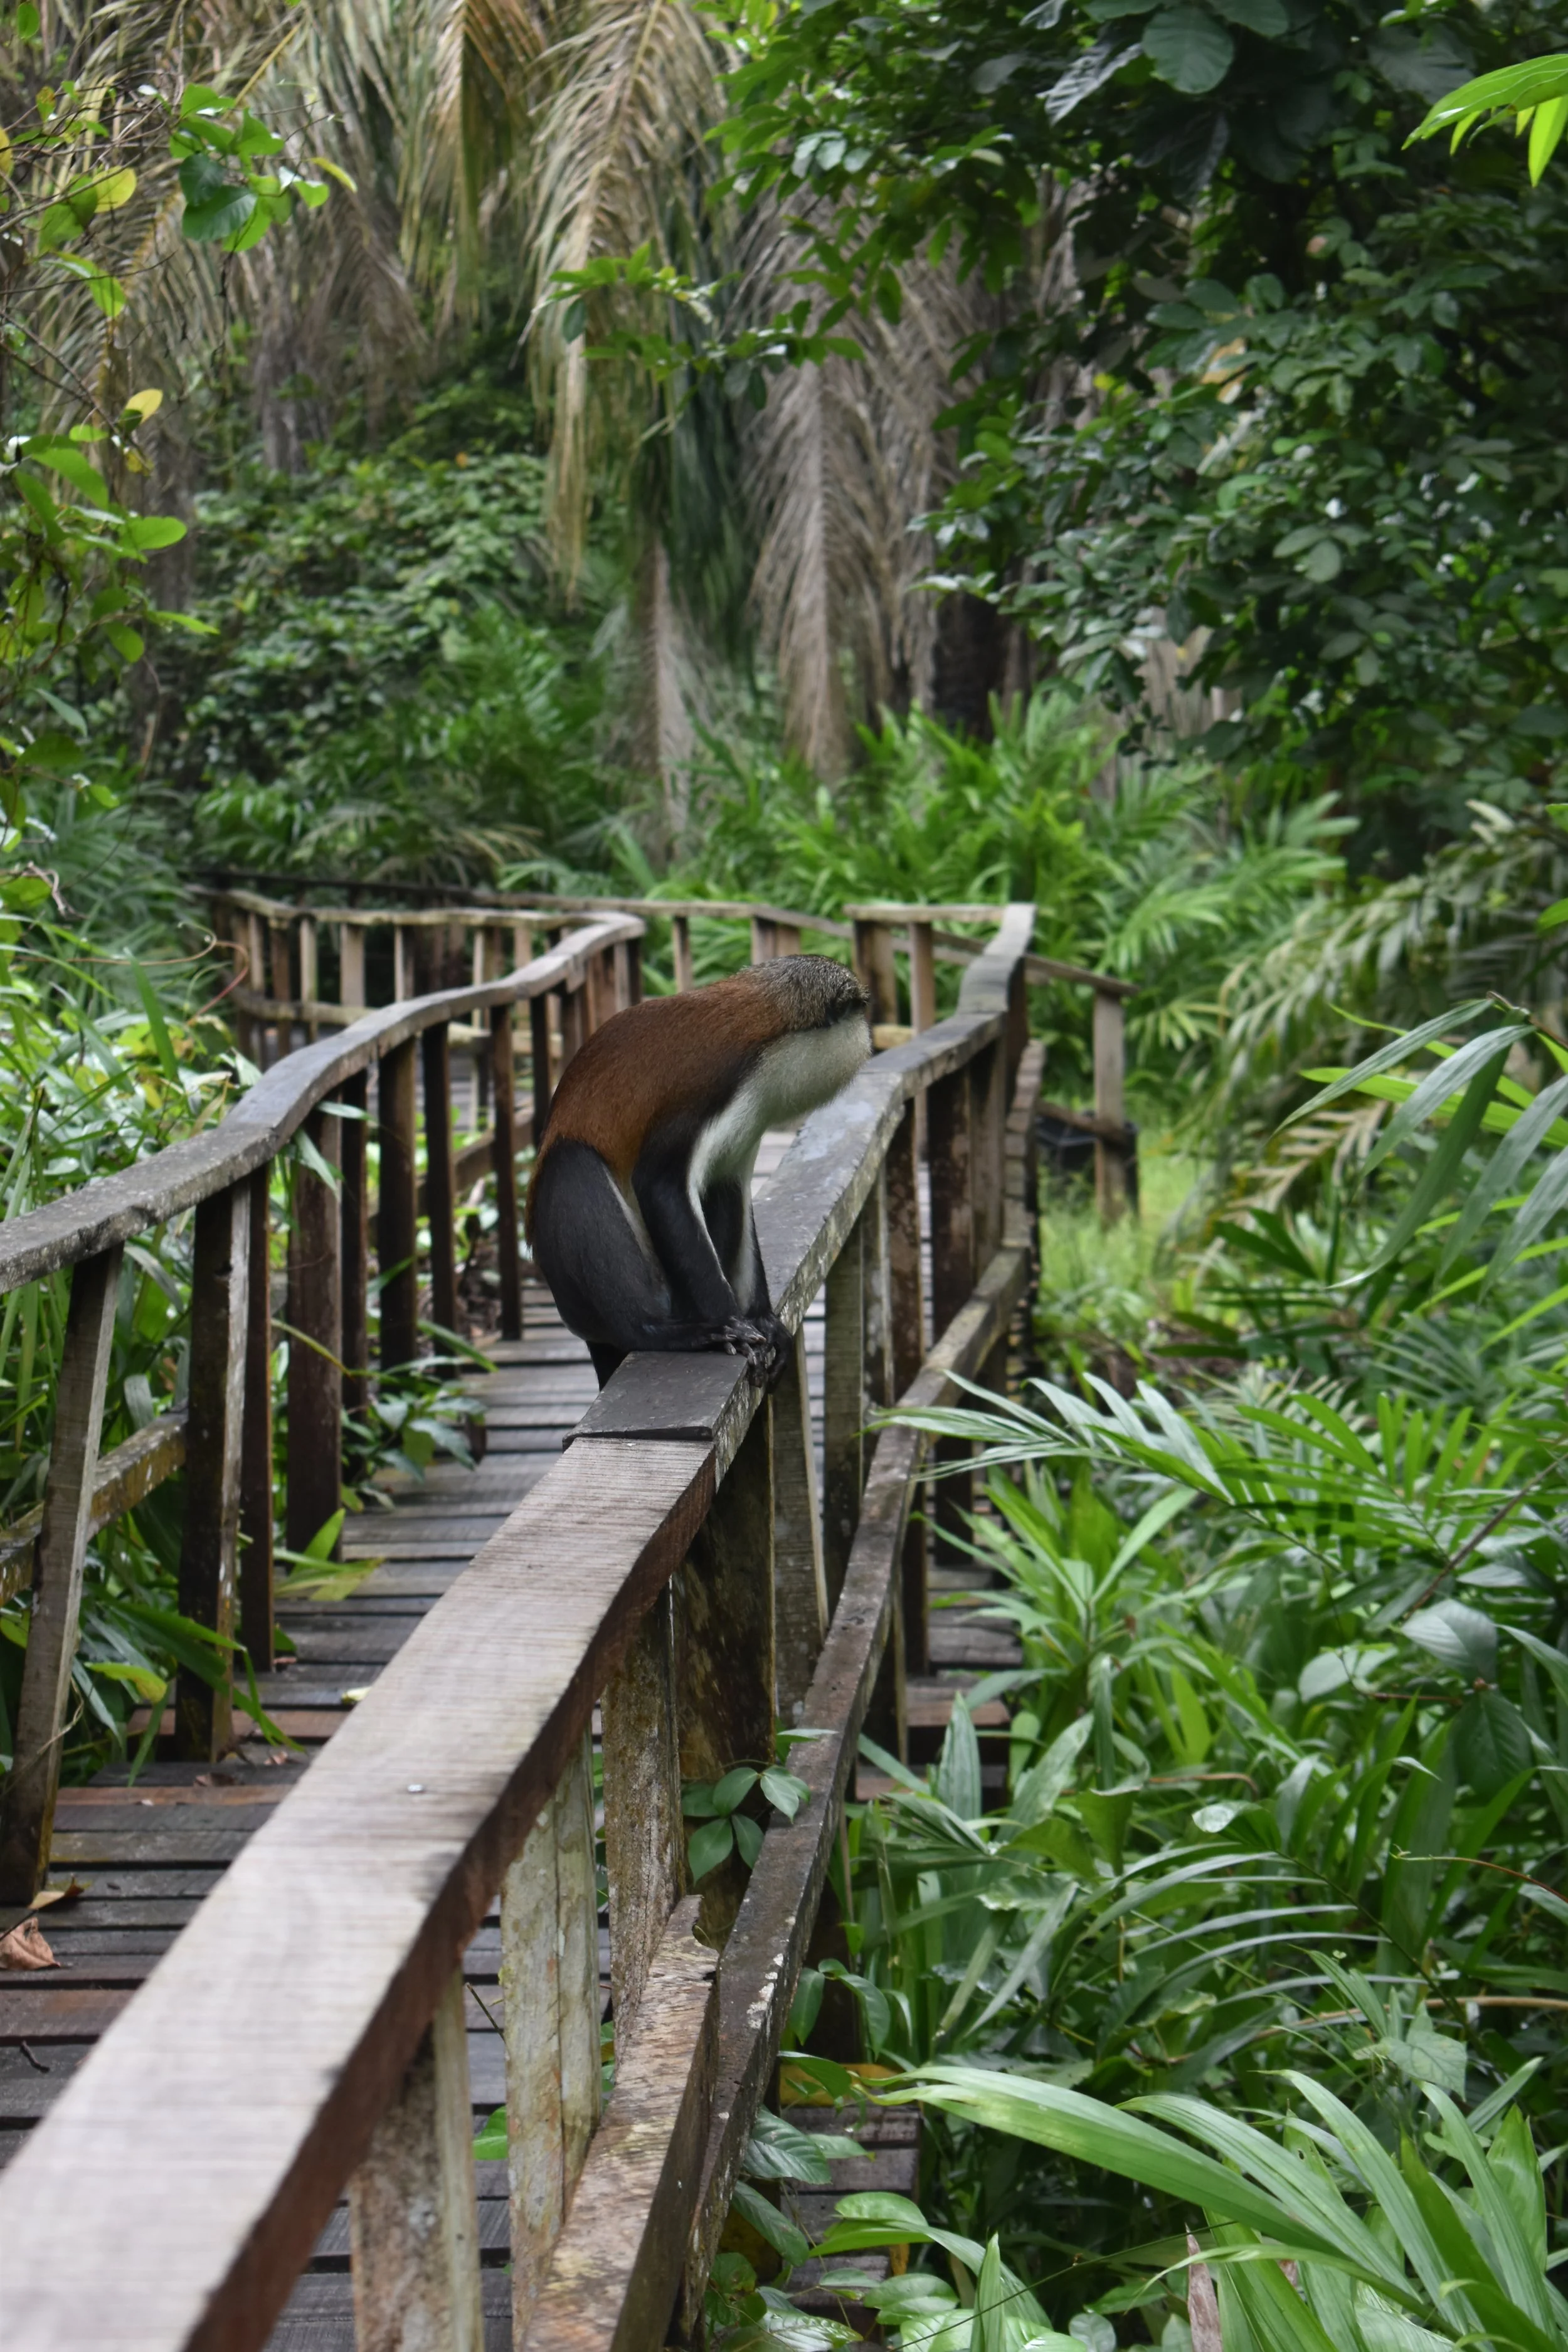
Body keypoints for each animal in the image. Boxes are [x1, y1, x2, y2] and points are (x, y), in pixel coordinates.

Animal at [526, 956, 872, 1389]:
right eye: (858, 1011)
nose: (870, 1033)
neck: (764, 1029)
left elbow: (731, 1188)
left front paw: (763, 1320)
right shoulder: (709, 1092)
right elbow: (660, 1184)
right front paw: (730, 1324)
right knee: (572, 1164)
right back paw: (659, 1330)